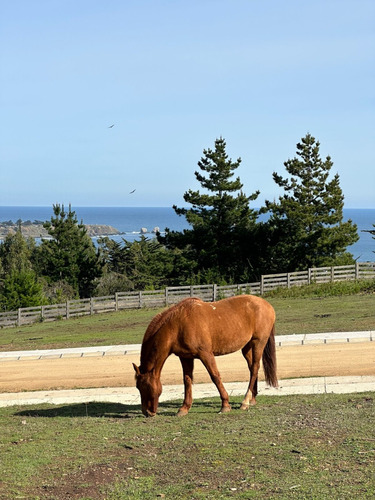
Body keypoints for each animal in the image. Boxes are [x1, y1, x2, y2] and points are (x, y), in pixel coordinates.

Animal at [132, 294, 276, 416]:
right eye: (137, 387)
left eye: (143, 386)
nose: (147, 412)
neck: (177, 325)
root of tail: (268, 305)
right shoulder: (185, 357)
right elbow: (187, 380)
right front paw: (184, 408)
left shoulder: (206, 354)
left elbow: (215, 376)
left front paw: (225, 405)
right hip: (246, 348)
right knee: (252, 369)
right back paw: (252, 398)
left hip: (258, 343)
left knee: (255, 368)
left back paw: (245, 402)